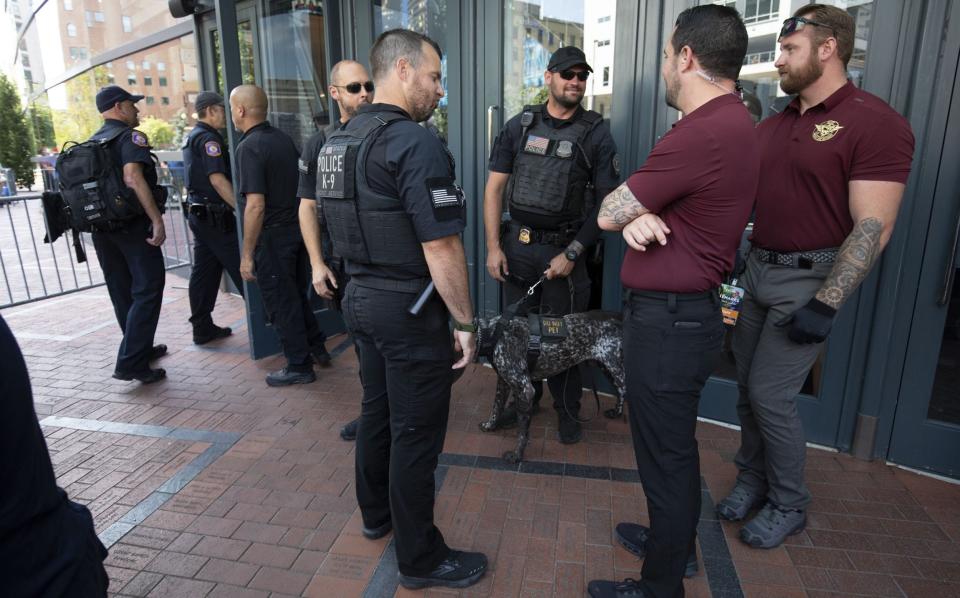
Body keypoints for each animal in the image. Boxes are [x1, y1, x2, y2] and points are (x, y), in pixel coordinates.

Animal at [476, 312, 628, 466]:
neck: (494, 332)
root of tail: (618, 322)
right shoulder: (503, 381)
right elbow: (496, 407)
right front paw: (490, 426)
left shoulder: (525, 389)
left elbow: (522, 432)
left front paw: (517, 455)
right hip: (607, 368)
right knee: (620, 391)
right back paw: (616, 412)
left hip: (615, 368)